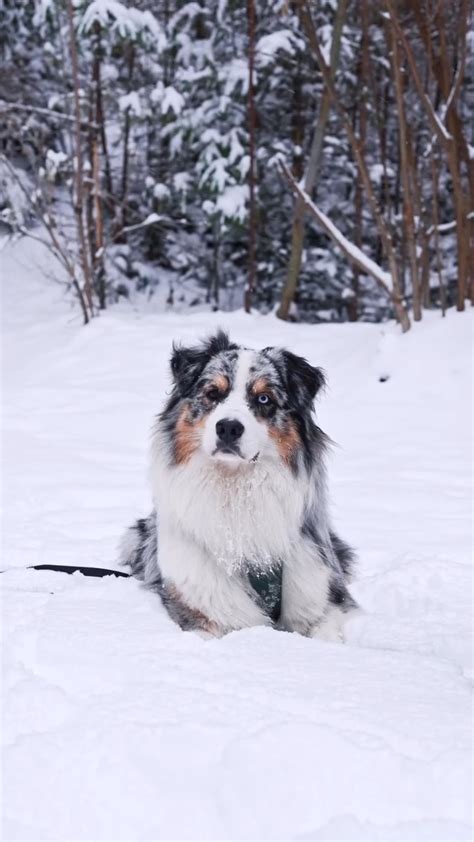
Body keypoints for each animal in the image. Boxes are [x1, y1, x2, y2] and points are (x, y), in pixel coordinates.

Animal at [120, 331, 356, 640]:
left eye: (264, 398)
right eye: (213, 394)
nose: (229, 428)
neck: (237, 489)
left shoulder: (322, 596)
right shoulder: (198, 609)